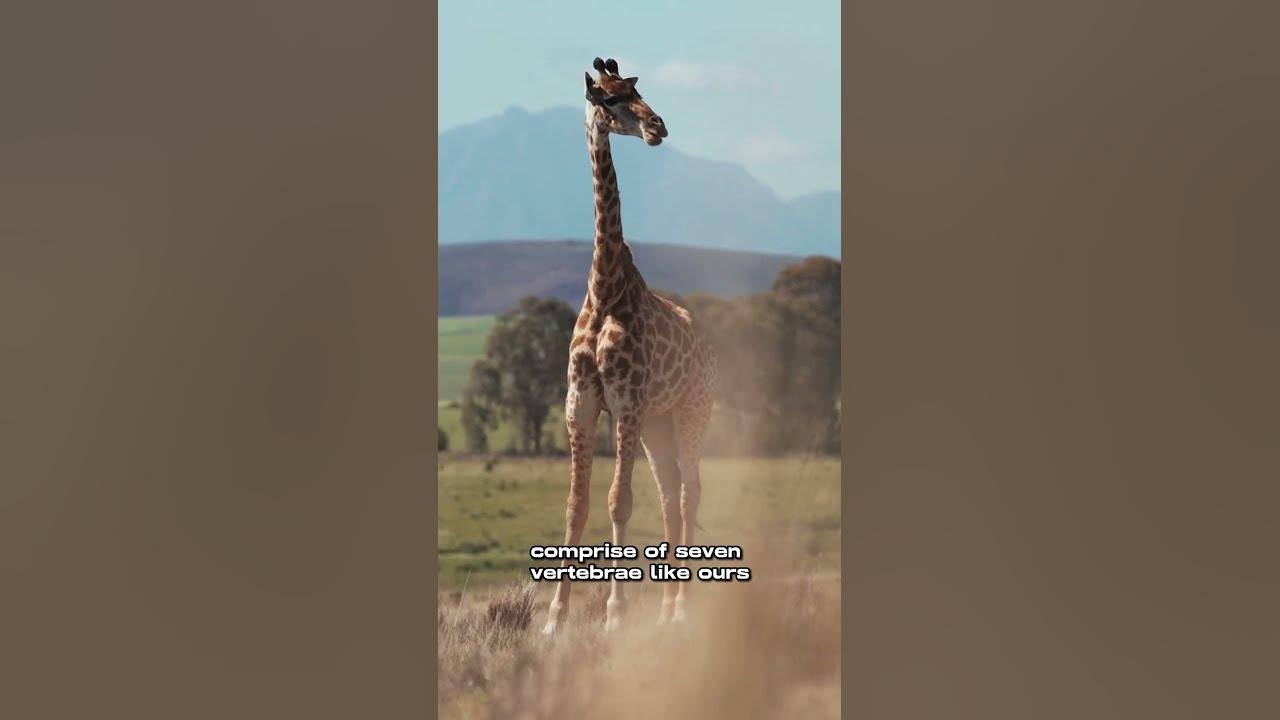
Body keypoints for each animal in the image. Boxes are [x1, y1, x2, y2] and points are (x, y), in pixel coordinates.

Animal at [543, 58, 716, 635]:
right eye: (611, 99)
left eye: (637, 91)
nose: (658, 127)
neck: (605, 288)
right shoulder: (580, 404)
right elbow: (576, 506)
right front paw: (554, 619)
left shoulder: (626, 404)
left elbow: (619, 502)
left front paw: (615, 615)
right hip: (658, 424)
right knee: (668, 495)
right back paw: (664, 610)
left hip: (689, 411)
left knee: (687, 493)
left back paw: (682, 610)